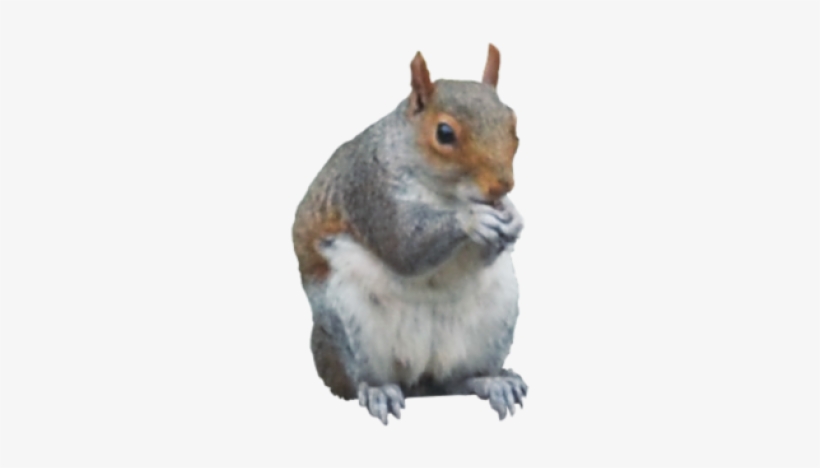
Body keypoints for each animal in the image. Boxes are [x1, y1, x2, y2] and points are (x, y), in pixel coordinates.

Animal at [292, 44, 526, 424]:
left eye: (513, 123)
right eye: (444, 133)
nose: (502, 186)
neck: (446, 193)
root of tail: (420, 380)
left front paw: (513, 216)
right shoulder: (370, 189)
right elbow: (403, 245)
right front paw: (472, 219)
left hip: (495, 318)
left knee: (456, 381)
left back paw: (492, 381)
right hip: (349, 323)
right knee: (360, 378)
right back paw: (378, 391)